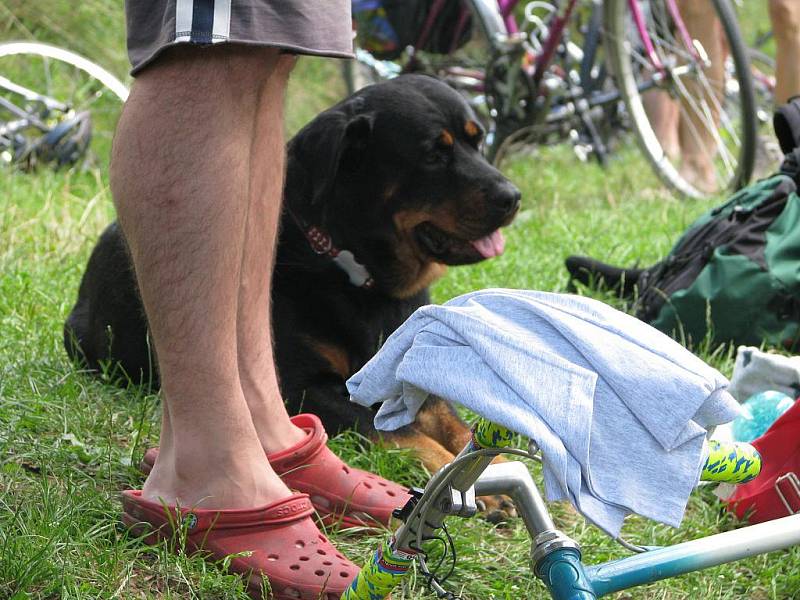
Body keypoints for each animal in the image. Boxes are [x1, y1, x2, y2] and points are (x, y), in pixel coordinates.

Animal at [65, 72, 520, 516]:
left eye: (478, 140)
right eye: (432, 155)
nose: (512, 196)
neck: (361, 279)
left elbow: (456, 423)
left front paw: (495, 468)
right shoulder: (302, 388)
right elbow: (391, 428)